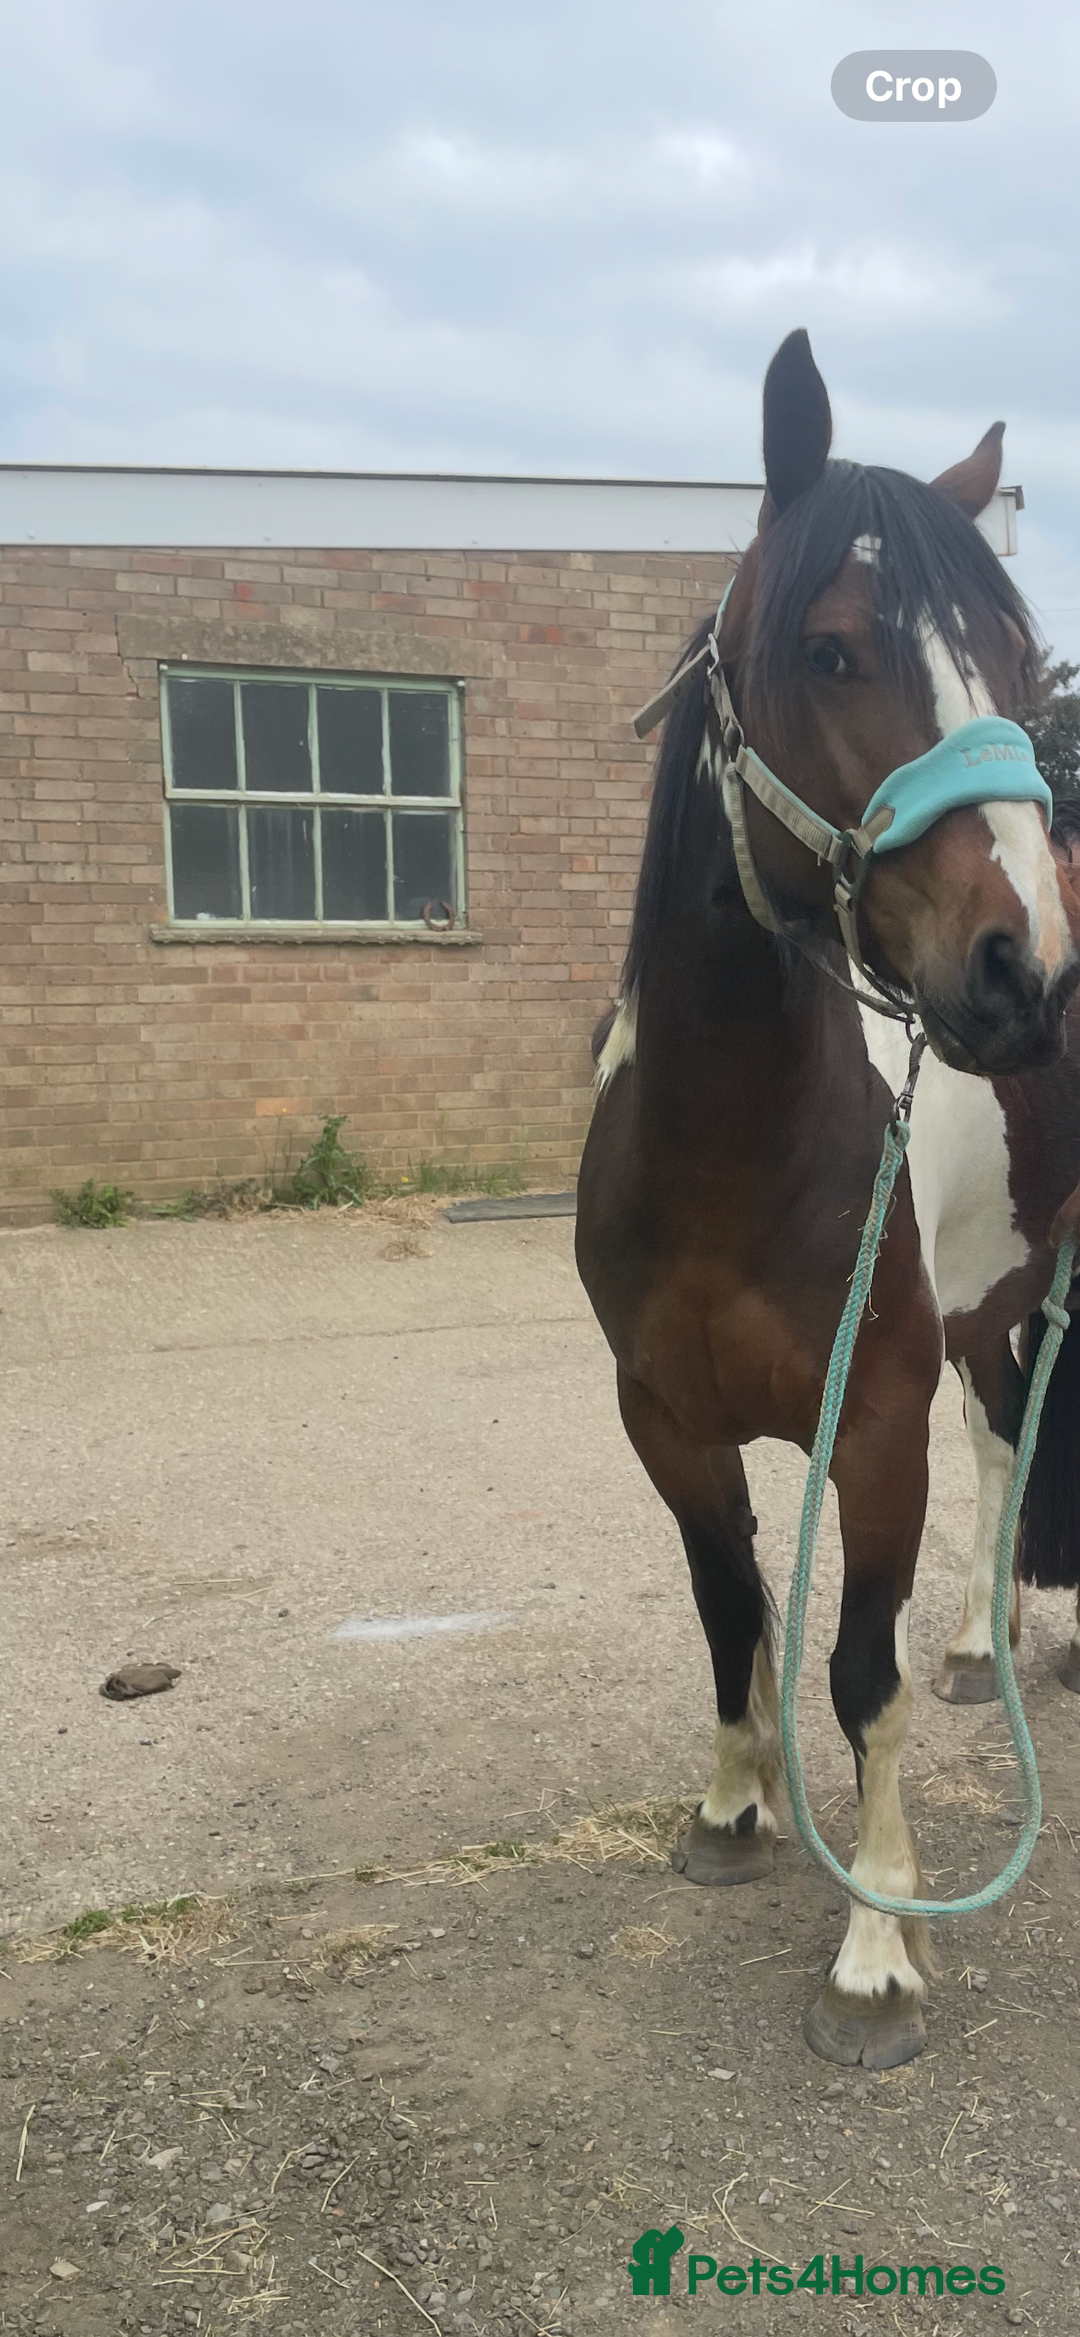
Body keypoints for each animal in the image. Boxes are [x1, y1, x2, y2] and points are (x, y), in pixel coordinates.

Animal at [575, 330, 1080, 2071]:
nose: (1024, 975)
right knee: (1006, 1444)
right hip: (994, 1303)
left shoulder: (873, 1420)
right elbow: (729, 1604)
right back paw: (988, 1645)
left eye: (1020, 661)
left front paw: (879, 1945)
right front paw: (735, 1812)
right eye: (835, 649)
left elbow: (856, 1673)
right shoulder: (665, 1414)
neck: (732, 1153)